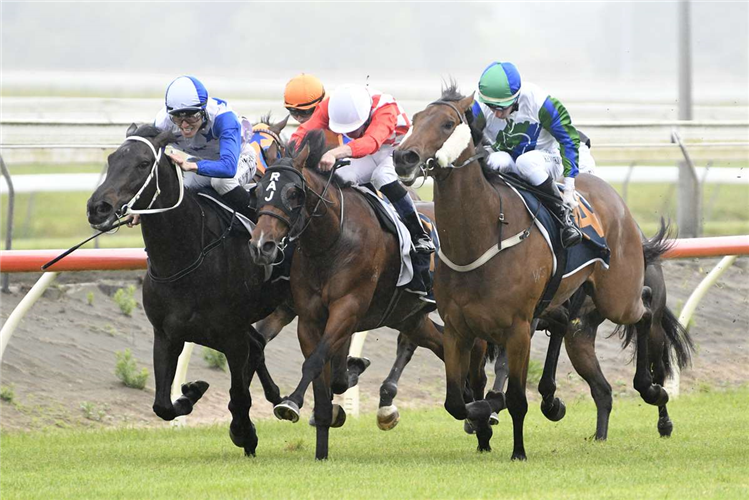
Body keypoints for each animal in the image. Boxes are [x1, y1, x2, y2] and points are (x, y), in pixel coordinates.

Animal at [84, 124, 290, 458]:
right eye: (112, 158)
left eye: (143, 163)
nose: (98, 207)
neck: (184, 258)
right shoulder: (167, 334)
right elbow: (162, 405)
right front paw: (191, 392)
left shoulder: (231, 337)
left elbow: (239, 395)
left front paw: (245, 434)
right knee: (259, 344)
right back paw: (276, 395)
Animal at [248, 130, 488, 460]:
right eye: (258, 192)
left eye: (294, 193)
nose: (262, 245)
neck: (331, 241)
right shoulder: (306, 316)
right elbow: (321, 373)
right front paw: (322, 438)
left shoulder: (347, 308)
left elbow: (315, 361)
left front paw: (291, 402)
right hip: (409, 316)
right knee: (442, 345)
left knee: (472, 347)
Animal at [394, 86, 668, 460]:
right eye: (416, 118)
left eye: (447, 123)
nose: (402, 157)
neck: (481, 237)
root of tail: (613, 197)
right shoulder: (457, 328)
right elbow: (456, 402)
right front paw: (484, 419)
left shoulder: (518, 328)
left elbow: (515, 399)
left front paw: (517, 450)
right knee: (569, 322)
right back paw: (556, 402)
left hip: (617, 296)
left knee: (646, 309)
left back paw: (653, 392)